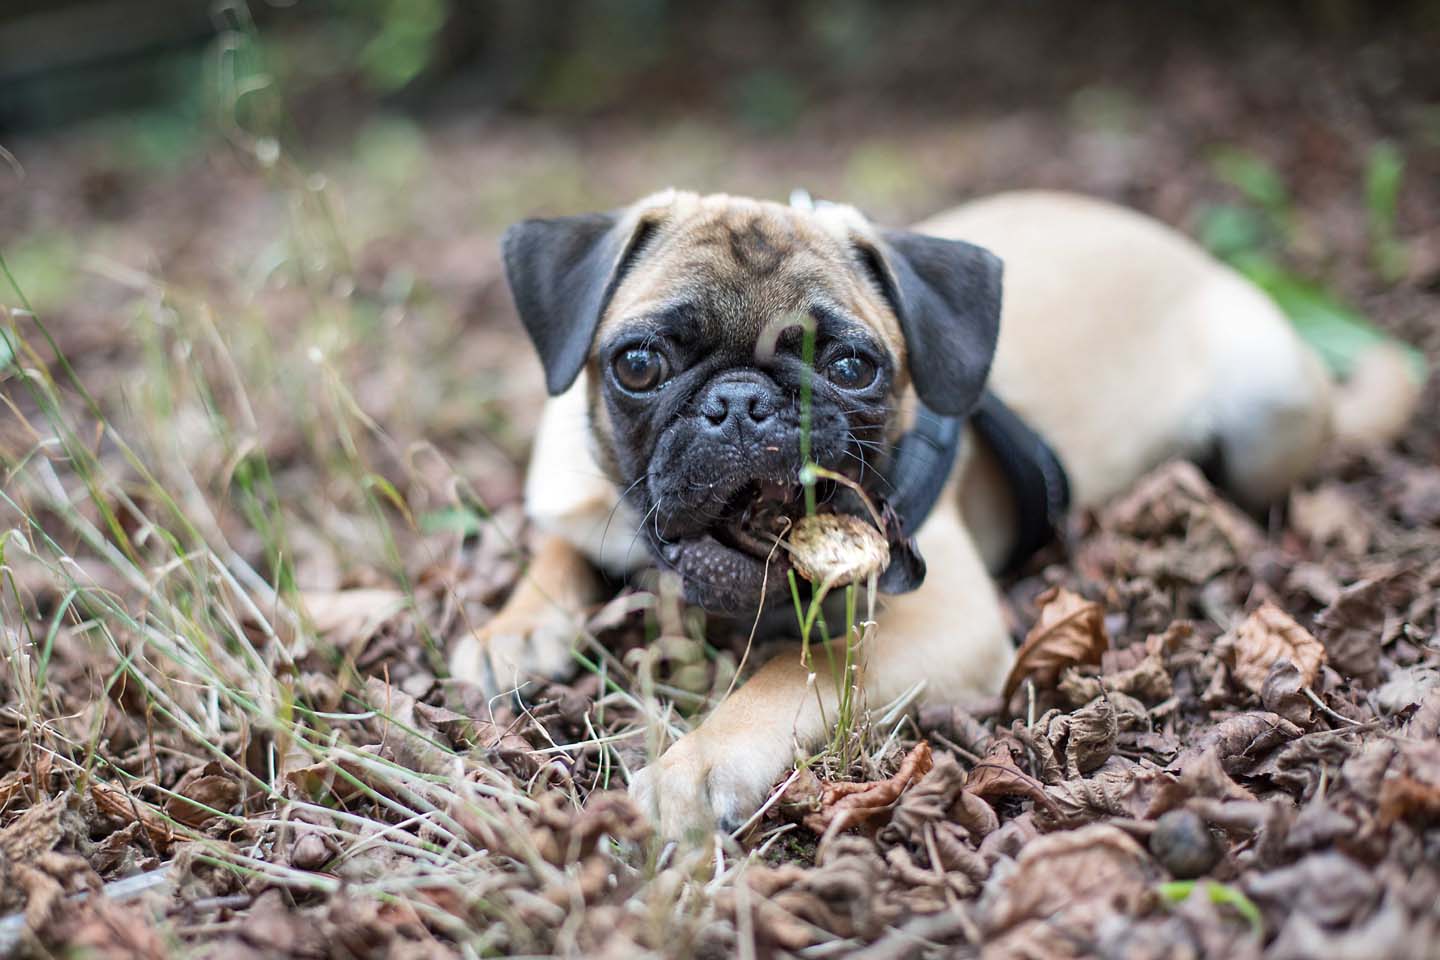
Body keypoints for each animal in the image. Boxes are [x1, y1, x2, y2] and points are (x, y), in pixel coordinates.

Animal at [449, 187, 1416, 840]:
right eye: (639, 364)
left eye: (850, 367)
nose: (743, 402)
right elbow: (555, 554)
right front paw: (511, 630)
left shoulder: (938, 623)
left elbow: (796, 668)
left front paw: (699, 761)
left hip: (1268, 409)